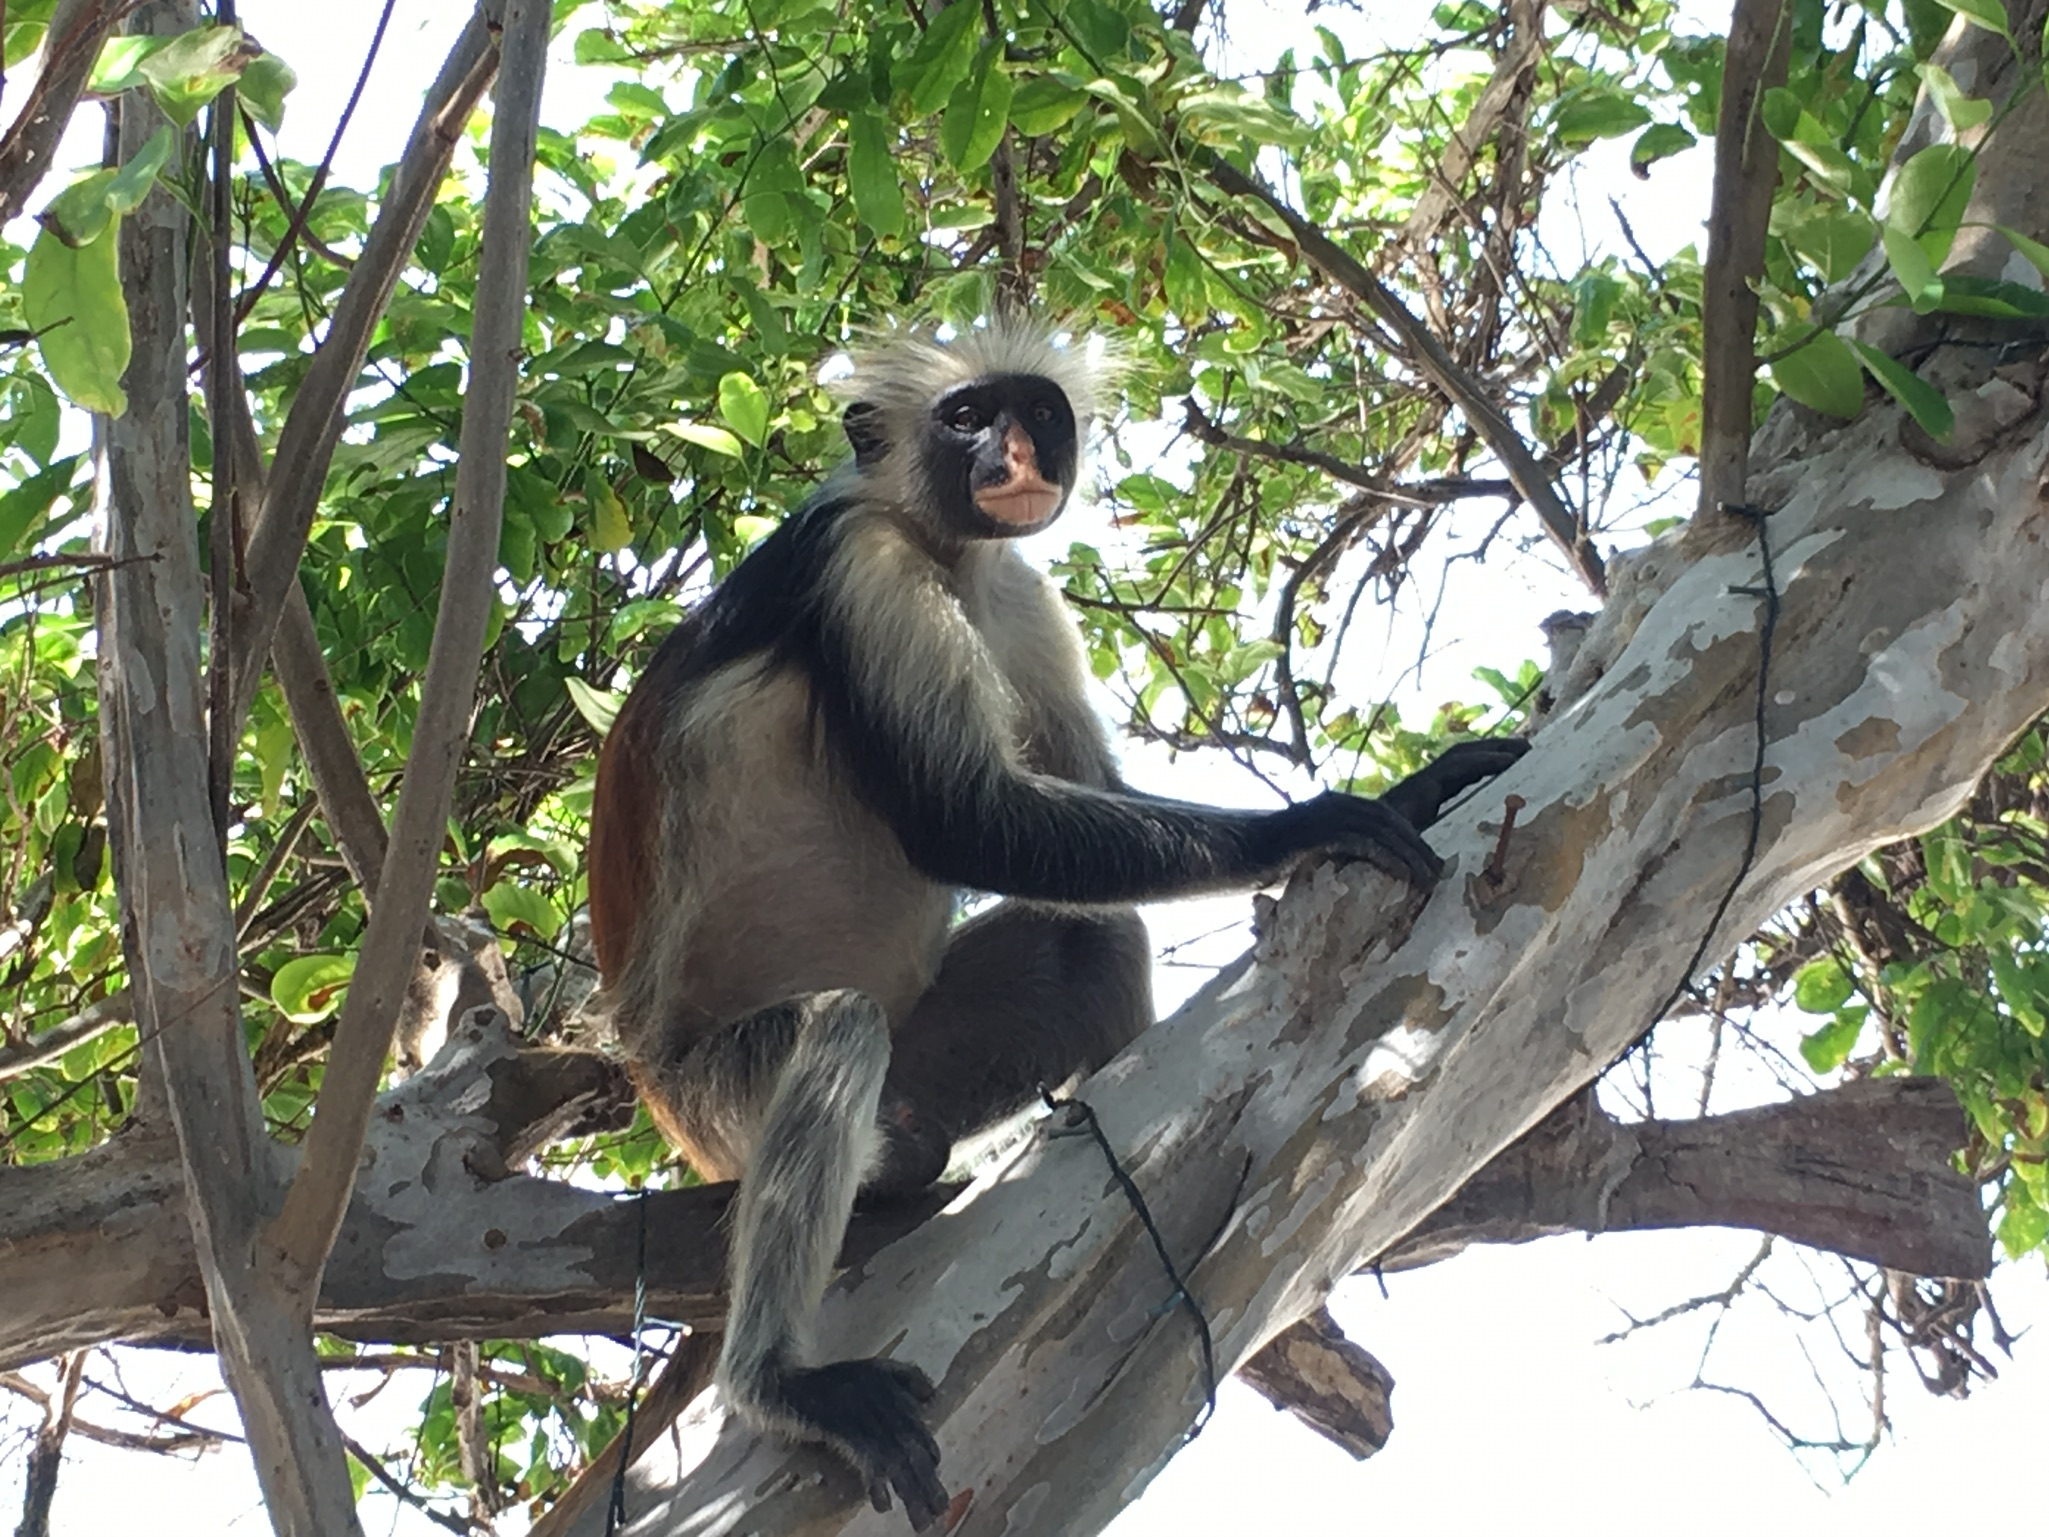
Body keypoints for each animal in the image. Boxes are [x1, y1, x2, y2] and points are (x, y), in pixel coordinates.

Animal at [586, 320, 1527, 1529]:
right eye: (965, 418)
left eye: (1037, 413)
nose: (1017, 455)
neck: (943, 549)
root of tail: (649, 1077)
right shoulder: (859, 567)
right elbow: (965, 822)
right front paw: (1317, 821)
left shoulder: (1018, 588)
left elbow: (1078, 799)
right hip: (714, 1093)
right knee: (839, 1025)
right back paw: (779, 1382)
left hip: (927, 1056)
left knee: (1095, 942)